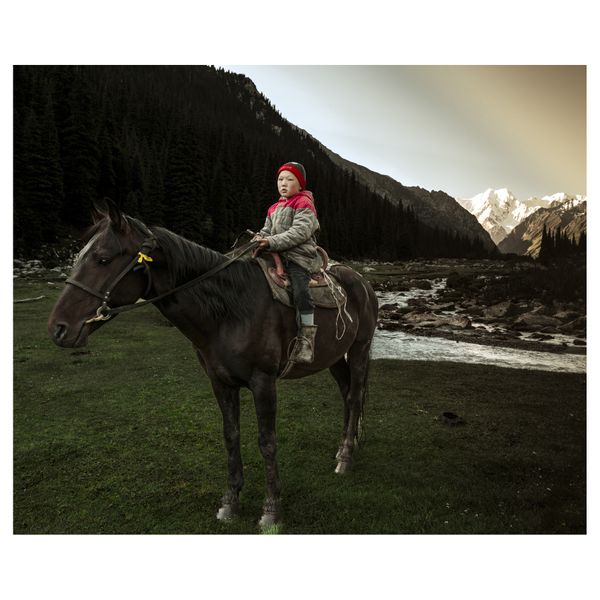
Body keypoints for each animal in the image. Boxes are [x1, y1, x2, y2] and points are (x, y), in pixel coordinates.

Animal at [49, 200, 378, 524]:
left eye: (103, 259)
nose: (58, 328)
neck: (229, 311)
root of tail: (362, 282)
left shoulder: (263, 382)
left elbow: (267, 441)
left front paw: (271, 509)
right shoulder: (220, 382)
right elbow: (231, 436)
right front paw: (230, 502)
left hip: (359, 349)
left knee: (355, 395)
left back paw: (345, 458)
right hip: (333, 356)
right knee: (347, 393)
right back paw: (343, 448)